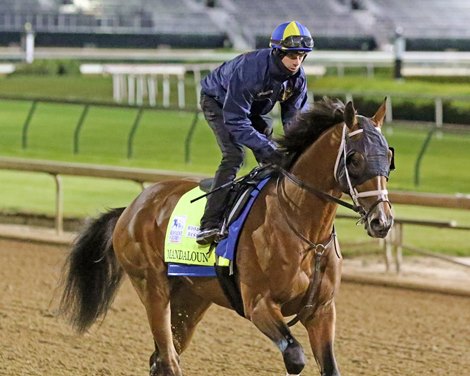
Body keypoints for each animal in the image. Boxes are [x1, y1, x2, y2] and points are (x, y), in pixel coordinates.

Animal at [60, 97, 394, 376]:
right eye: (354, 158)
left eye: (388, 157)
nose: (382, 221)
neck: (306, 233)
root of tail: (132, 207)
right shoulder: (258, 304)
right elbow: (295, 358)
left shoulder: (321, 311)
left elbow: (330, 367)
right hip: (151, 287)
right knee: (167, 357)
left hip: (190, 300)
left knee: (160, 358)